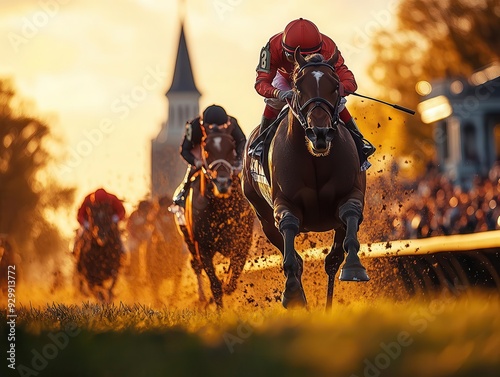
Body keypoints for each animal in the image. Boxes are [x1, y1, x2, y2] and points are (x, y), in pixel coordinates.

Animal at [242, 47, 372, 308]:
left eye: (335, 86)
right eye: (298, 87)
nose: (319, 133)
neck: (315, 159)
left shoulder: (352, 193)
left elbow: (350, 216)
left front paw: (354, 267)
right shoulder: (283, 204)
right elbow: (289, 229)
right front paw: (291, 292)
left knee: (332, 260)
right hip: (262, 216)